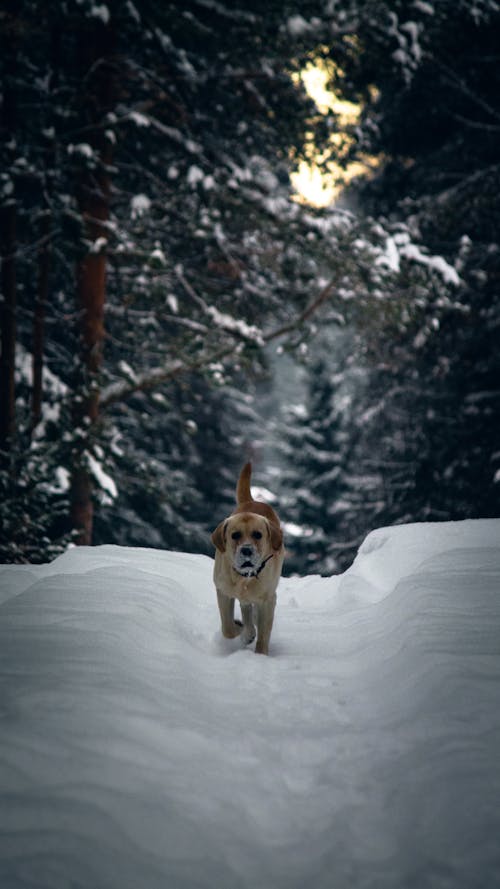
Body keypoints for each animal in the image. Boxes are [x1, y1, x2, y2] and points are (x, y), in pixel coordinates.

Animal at [211, 462, 286, 656]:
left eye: (258, 535)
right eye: (235, 535)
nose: (246, 550)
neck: (245, 578)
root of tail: (252, 501)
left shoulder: (268, 600)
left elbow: (264, 633)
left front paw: (260, 655)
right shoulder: (223, 591)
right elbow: (228, 628)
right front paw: (241, 630)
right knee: (246, 610)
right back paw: (247, 630)